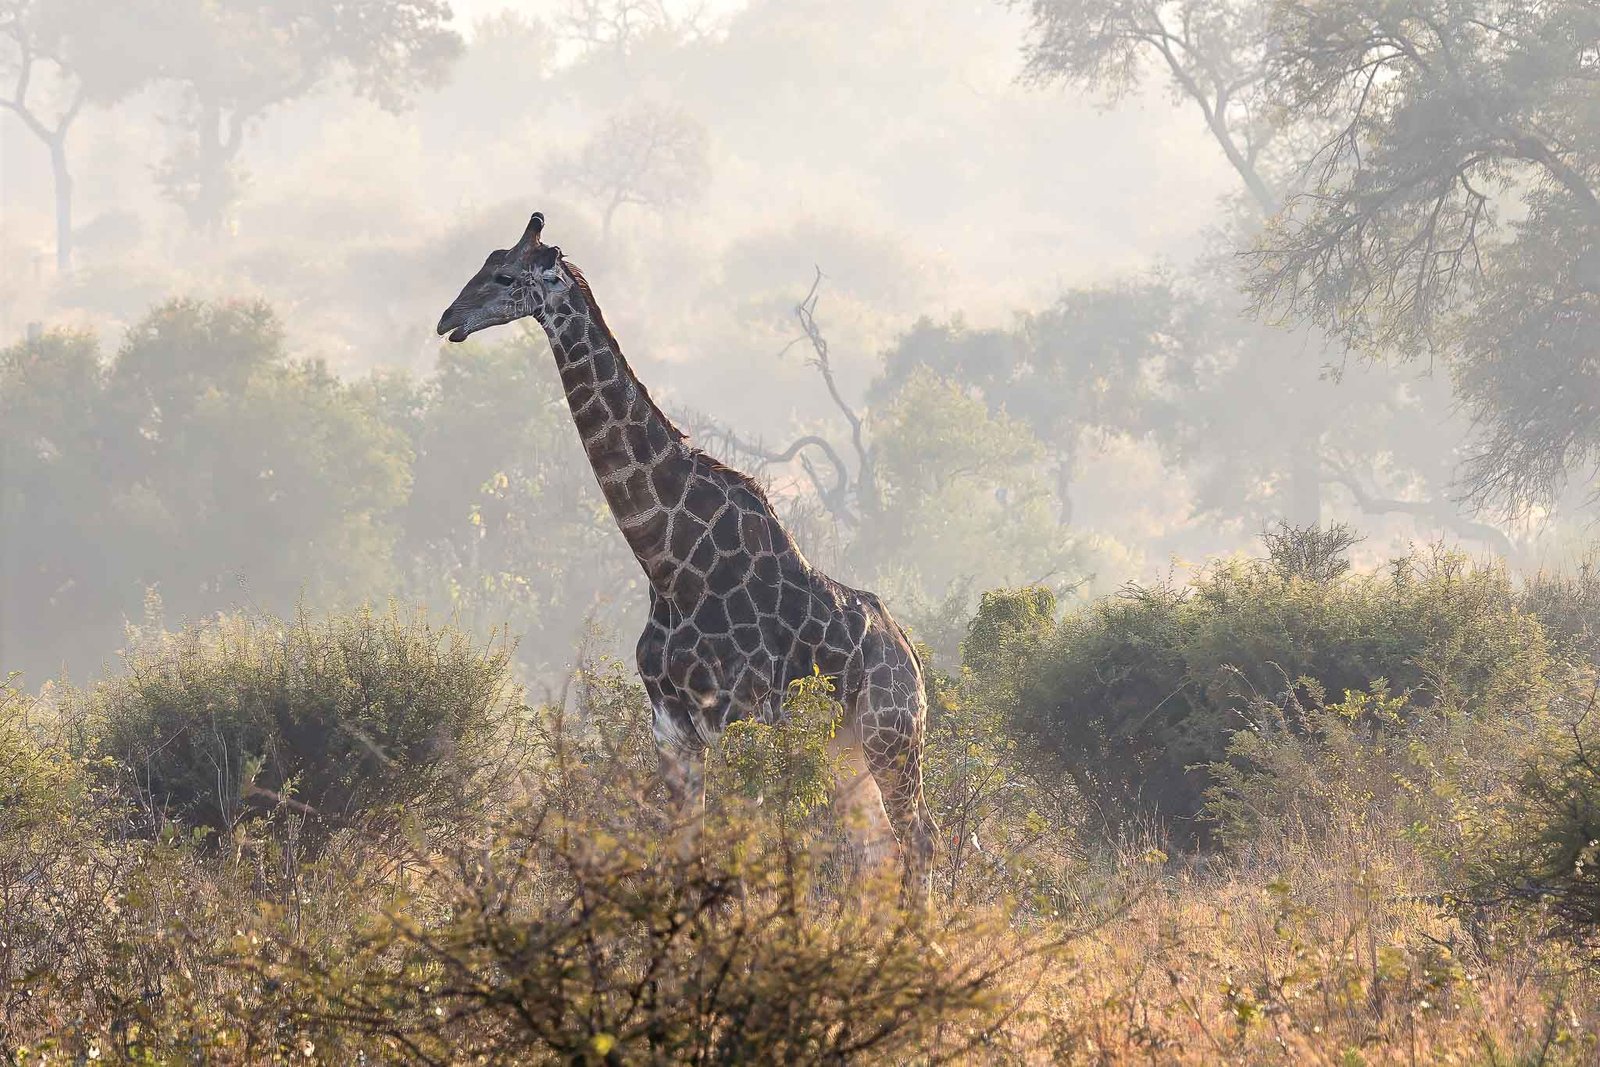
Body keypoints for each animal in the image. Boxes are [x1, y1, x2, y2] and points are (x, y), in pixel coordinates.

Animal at [436, 211, 937, 905]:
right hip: (844, 750)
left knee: (918, 840)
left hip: (891, 734)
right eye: (483, 264)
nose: (447, 318)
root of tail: (910, 654)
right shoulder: (671, 730)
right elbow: (683, 855)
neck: (668, 565)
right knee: (876, 850)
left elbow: (741, 860)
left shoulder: (735, 720)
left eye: (506, 275)